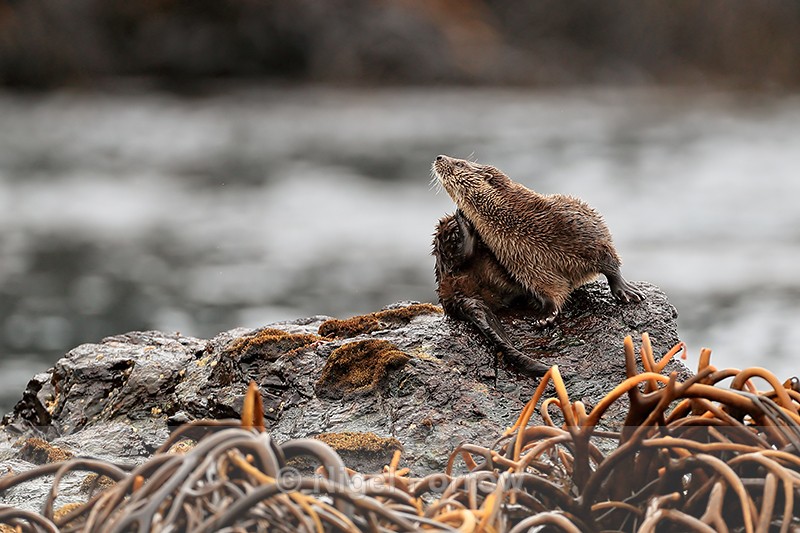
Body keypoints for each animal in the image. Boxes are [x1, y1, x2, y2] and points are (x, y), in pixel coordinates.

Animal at [433, 155, 643, 326]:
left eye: (459, 163)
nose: (439, 157)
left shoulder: (581, 232)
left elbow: (609, 262)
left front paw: (625, 290)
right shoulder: (526, 264)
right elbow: (549, 291)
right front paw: (546, 316)